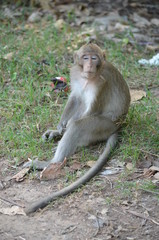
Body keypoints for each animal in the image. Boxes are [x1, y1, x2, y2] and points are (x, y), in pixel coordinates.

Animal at [24, 43, 130, 214]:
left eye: (94, 58)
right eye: (85, 58)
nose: (89, 65)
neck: (87, 77)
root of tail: (118, 126)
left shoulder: (102, 82)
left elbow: (90, 109)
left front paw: (65, 129)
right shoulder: (75, 74)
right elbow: (76, 97)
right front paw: (59, 128)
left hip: (104, 126)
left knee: (78, 126)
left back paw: (49, 163)